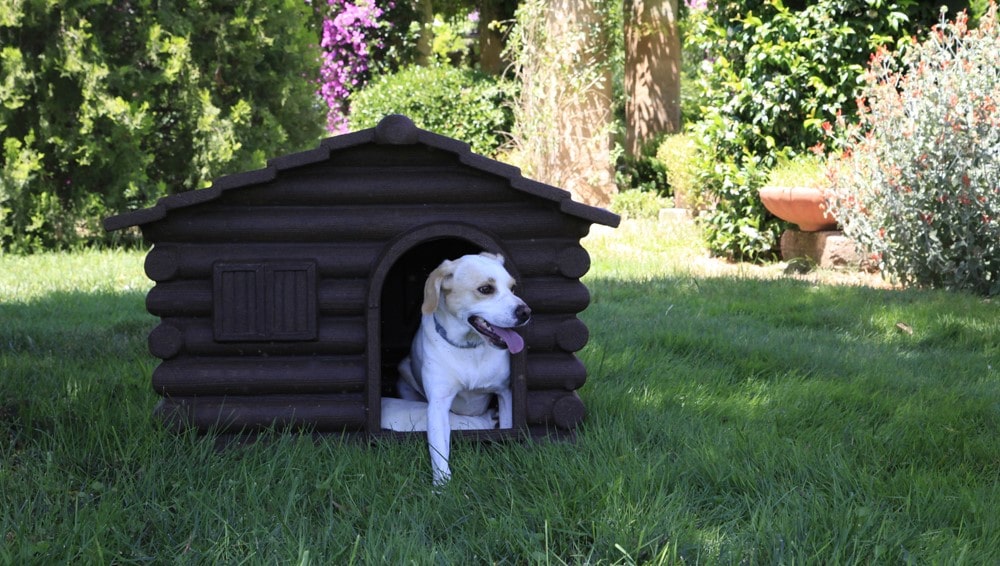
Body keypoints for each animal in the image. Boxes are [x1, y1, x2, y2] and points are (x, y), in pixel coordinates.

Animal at [394, 255, 532, 486]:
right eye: (485, 289)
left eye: (512, 288)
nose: (526, 312)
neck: (469, 348)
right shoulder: (438, 404)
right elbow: (439, 450)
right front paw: (442, 485)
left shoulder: (505, 394)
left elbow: (506, 429)